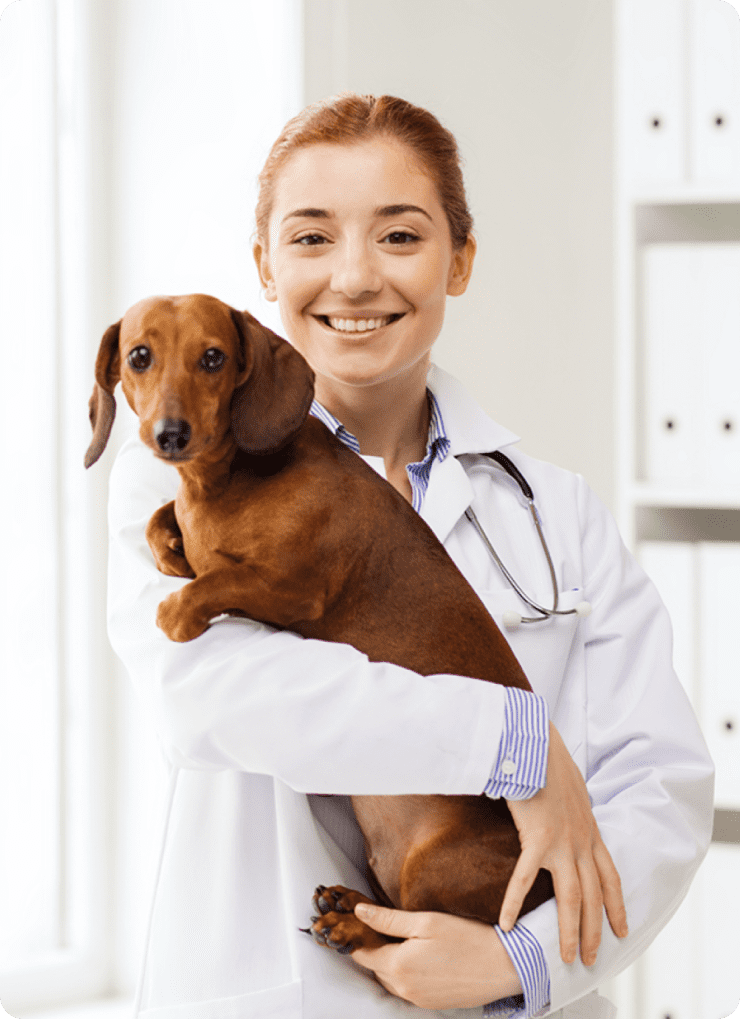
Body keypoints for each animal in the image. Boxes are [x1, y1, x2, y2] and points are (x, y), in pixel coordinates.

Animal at [87, 293, 554, 953]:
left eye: (213, 357)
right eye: (139, 356)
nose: (170, 435)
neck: (229, 480)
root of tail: (548, 886)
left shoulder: (294, 589)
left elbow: (213, 583)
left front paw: (180, 606)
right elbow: (159, 520)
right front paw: (172, 546)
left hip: (438, 867)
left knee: (413, 933)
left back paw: (350, 924)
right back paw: (345, 901)